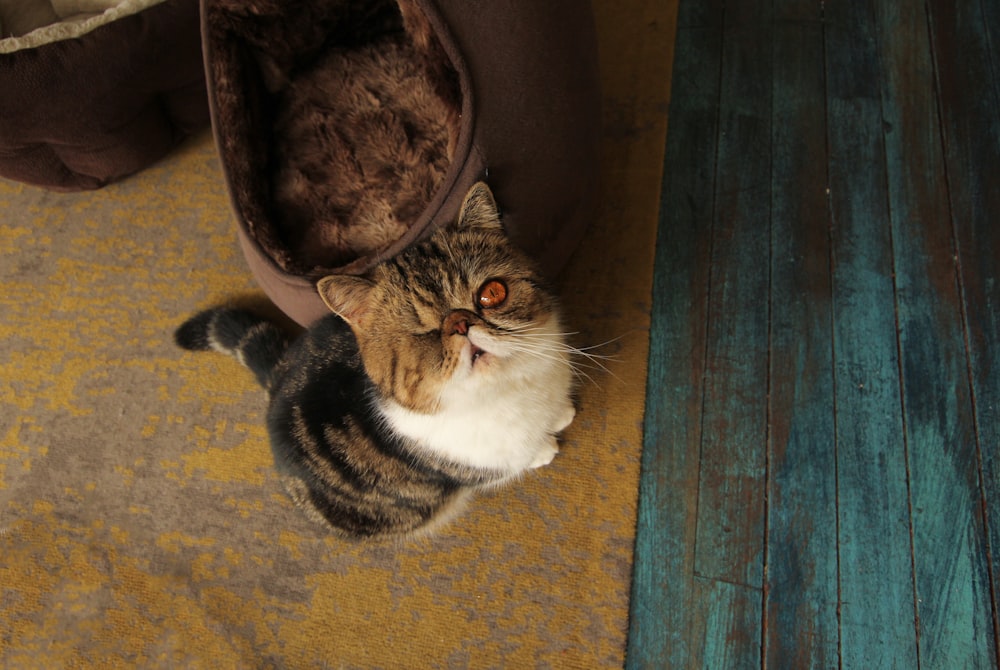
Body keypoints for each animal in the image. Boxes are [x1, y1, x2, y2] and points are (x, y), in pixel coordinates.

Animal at [176, 184, 576, 540]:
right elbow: (514, 461)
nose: (461, 324)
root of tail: (277, 376)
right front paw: (545, 449)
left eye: (492, 294)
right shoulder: (471, 465)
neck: (510, 390)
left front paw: (561, 414)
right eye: (421, 333)